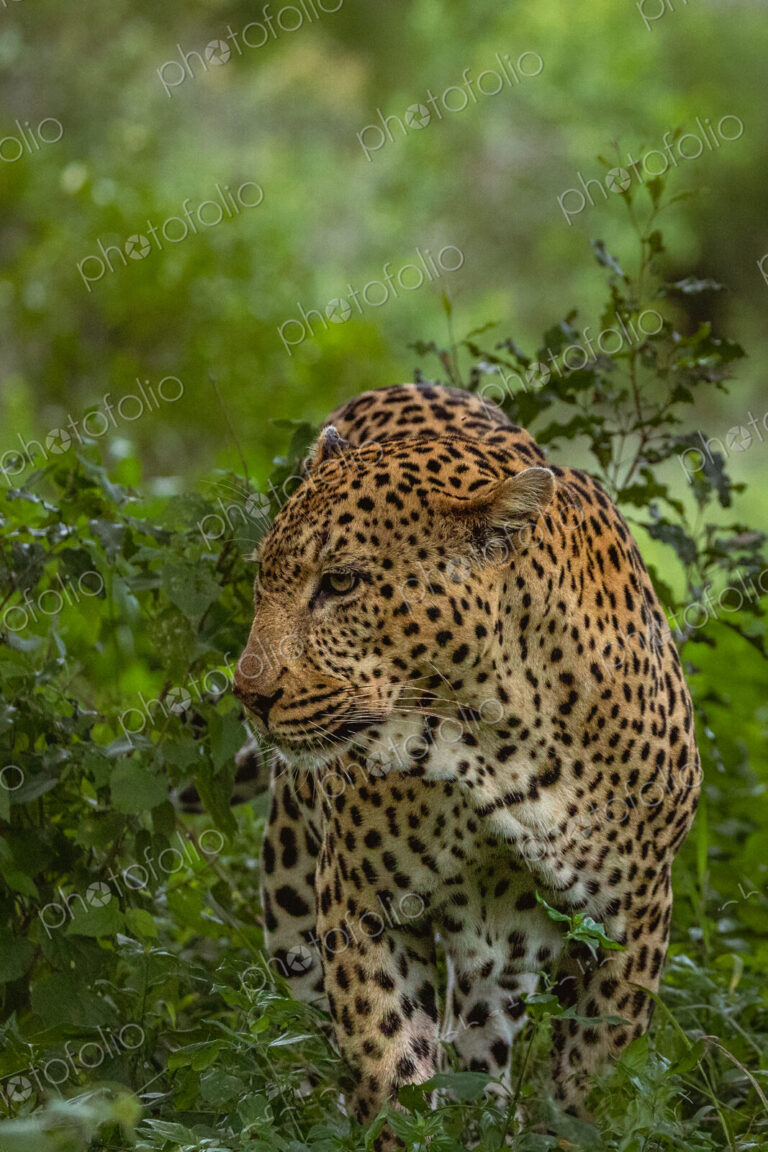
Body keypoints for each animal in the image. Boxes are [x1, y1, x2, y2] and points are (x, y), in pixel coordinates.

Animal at [232, 381, 701, 1139]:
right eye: (263, 580)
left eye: (341, 583)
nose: (248, 694)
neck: (491, 740)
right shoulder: (360, 906)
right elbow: (392, 1065)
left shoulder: (634, 918)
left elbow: (585, 1083)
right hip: (293, 904)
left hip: (505, 958)